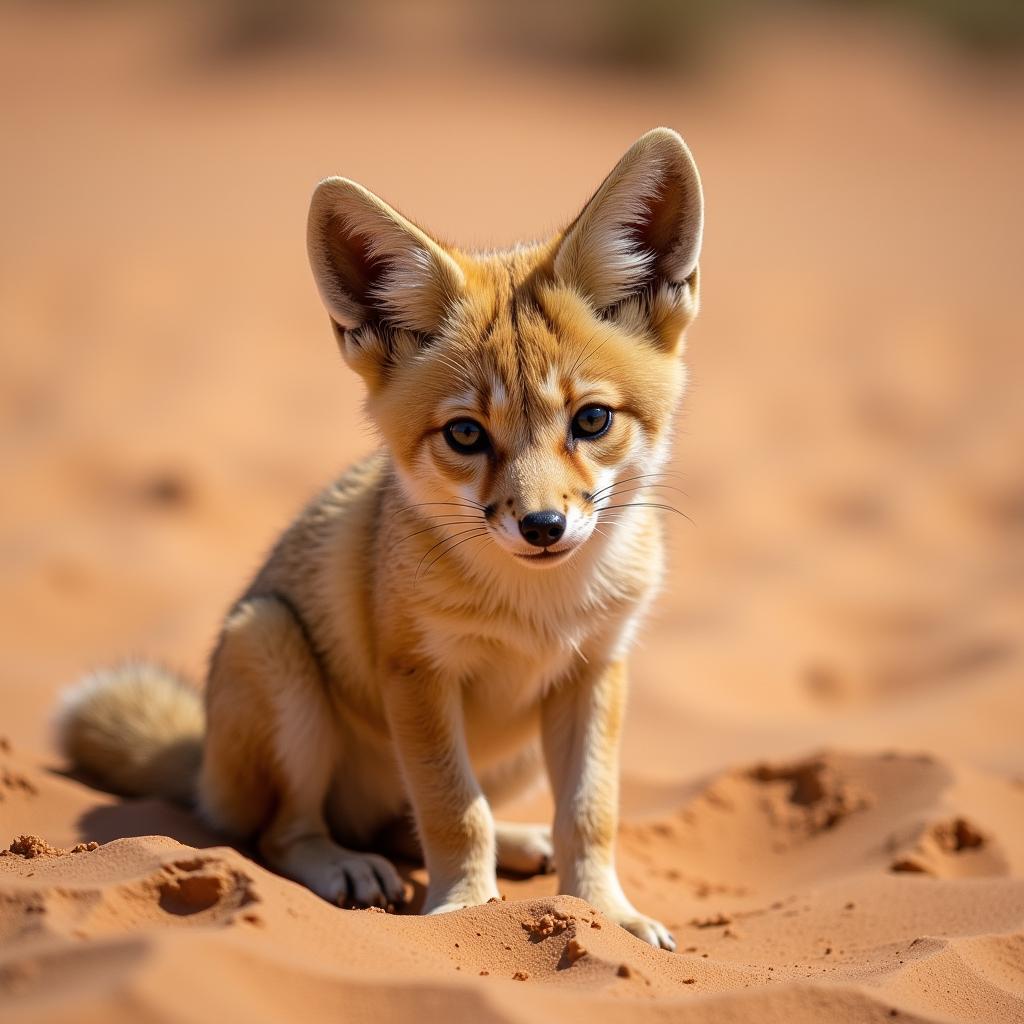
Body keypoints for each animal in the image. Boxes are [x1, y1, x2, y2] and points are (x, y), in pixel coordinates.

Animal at [58, 128, 704, 950]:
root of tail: (202, 764)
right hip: (274, 651)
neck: (538, 607)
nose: (542, 527)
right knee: (282, 834)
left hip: (518, 751)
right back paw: (343, 864)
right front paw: (466, 912)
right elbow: (454, 812)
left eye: (591, 421)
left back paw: (517, 843)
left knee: (406, 825)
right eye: (465, 434)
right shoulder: (418, 675)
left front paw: (604, 914)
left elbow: (590, 815)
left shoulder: (594, 671)